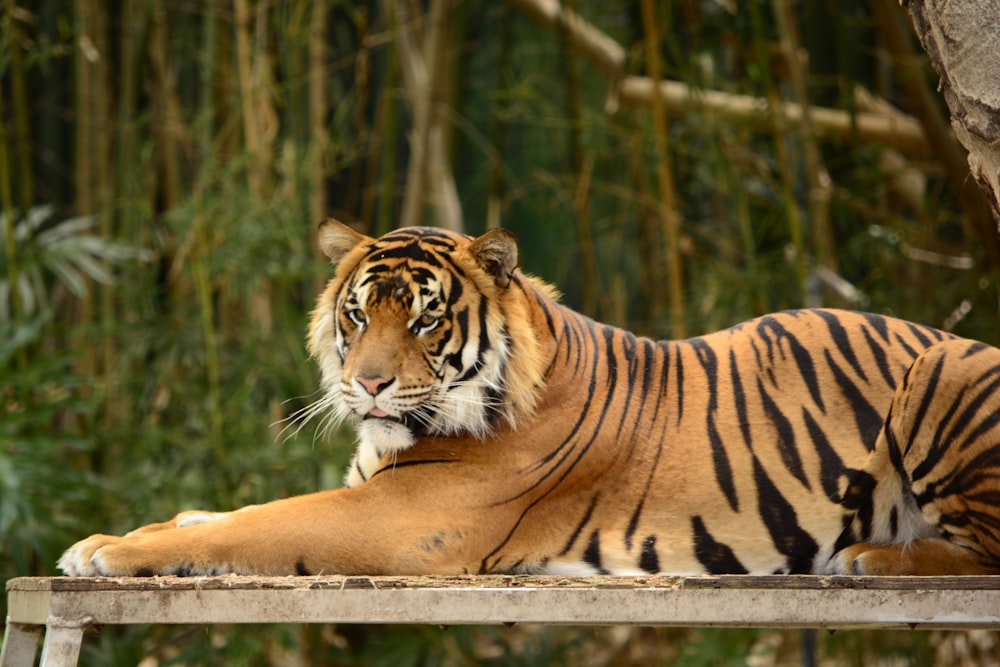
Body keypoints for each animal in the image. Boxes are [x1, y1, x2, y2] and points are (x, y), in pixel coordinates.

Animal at [56, 222, 1000, 576]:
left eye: (425, 317)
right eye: (358, 314)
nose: (368, 382)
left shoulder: (402, 516)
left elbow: (254, 524)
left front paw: (106, 551)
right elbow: (212, 514)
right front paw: (112, 536)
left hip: (940, 372)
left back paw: (872, 558)